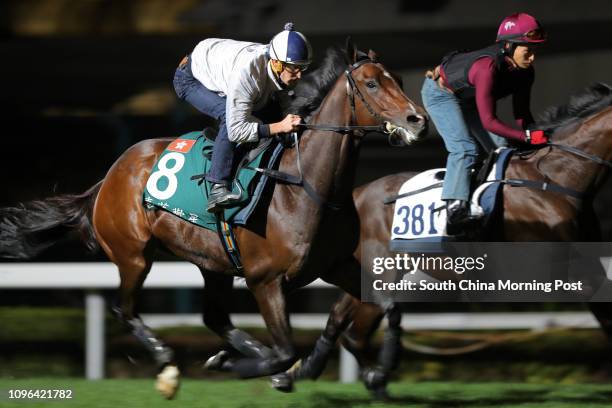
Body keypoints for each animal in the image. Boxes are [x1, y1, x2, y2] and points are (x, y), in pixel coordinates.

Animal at [0, 42, 428, 398]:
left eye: (398, 79)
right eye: (371, 83)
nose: (418, 120)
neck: (306, 187)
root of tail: (109, 176)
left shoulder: (337, 265)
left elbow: (389, 305)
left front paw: (381, 369)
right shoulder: (265, 280)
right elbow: (285, 348)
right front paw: (245, 366)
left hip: (213, 263)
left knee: (214, 317)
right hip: (133, 255)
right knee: (125, 309)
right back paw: (170, 365)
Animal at [276, 82, 612, 396]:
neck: (555, 178)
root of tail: (356, 193)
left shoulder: (586, 264)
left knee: (346, 325)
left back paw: (315, 371)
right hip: (380, 270)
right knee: (353, 327)